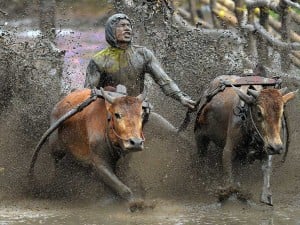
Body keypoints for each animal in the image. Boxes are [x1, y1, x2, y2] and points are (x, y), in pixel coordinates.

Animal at [195, 75, 298, 206]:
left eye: (281, 112)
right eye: (259, 112)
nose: (277, 147)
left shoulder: (264, 149)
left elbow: (266, 170)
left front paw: (266, 196)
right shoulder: (228, 150)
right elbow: (228, 173)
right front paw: (229, 194)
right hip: (200, 135)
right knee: (201, 157)